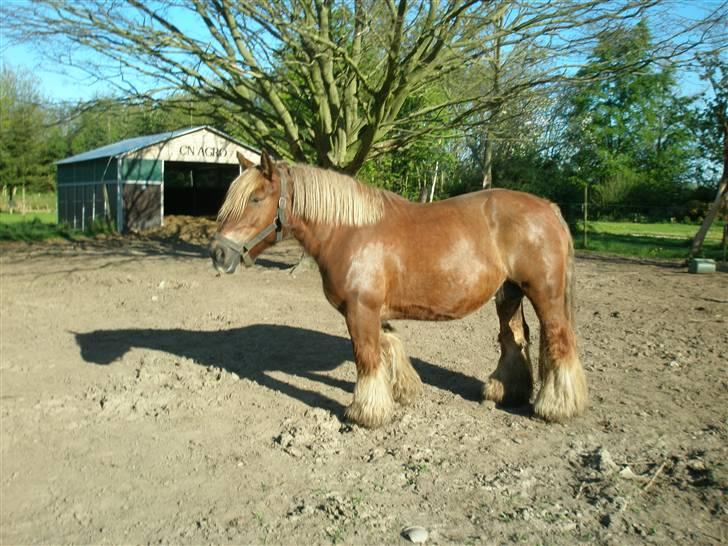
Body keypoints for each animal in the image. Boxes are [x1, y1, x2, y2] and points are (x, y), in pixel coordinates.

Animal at [209, 151, 584, 428]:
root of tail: (548, 207)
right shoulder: (374, 311)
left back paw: (557, 406)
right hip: (508, 294)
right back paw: (504, 392)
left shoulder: (360, 310)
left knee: (559, 341)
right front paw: (402, 392)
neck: (349, 232)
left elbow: (367, 357)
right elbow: (389, 347)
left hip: (544, 295)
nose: (218, 253)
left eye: (256, 198)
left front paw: (366, 413)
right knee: (514, 339)